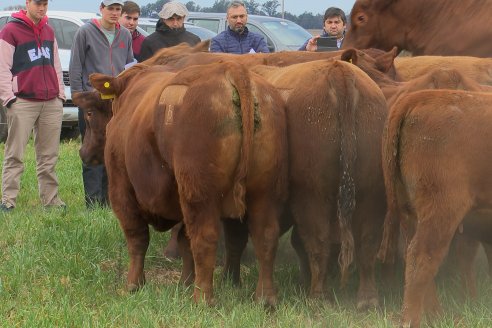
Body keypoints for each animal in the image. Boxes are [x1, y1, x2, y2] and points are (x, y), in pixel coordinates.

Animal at [73, 62, 288, 306]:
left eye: (89, 114)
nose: (83, 152)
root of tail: (231, 68)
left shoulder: (121, 188)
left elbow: (137, 238)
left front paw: (134, 284)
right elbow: (184, 242)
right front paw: (185, 282)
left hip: (200, 193)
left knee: (205, 238)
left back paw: (202, 298)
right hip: (265, 191)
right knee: (266, 236)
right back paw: (265, 298)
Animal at [254, 59, 388, 310]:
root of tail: (339, 70)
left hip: (313, 193)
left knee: (318, 240)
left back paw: (318, 295)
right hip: (371, 192)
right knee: (366, 242)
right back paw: (367, 299)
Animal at [380, 89, 492, 326]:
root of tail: (419, 97)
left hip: (411, 214)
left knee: (414, 257)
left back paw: (435, 315)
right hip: (442, 212)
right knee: (422, 256)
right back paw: (413, 320)